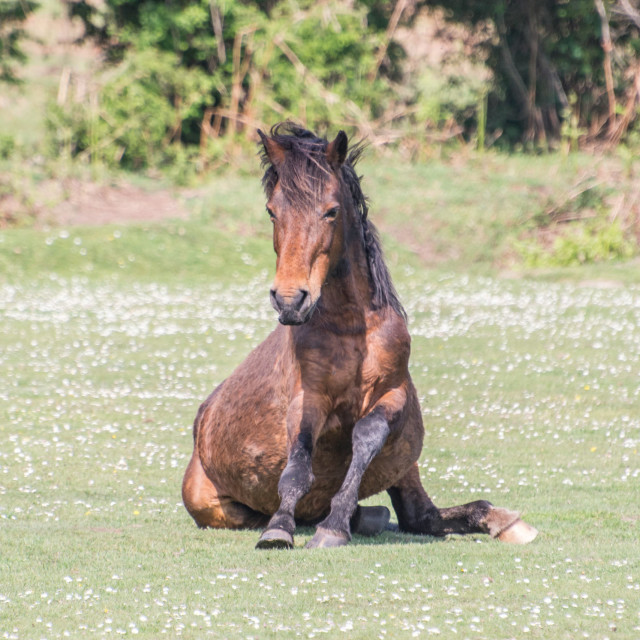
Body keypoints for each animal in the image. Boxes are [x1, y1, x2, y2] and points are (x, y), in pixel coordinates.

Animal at [182, 125, 536, 552]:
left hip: (406, 463)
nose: (289, 300)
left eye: (331, 211)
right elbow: (298, 463)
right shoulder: (308, 398)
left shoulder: (393, 394)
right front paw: (280, 527)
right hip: (209, 504)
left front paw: (334, 525)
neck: (351, 328)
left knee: (422, 515)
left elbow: (366, 436)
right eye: (271, 211)